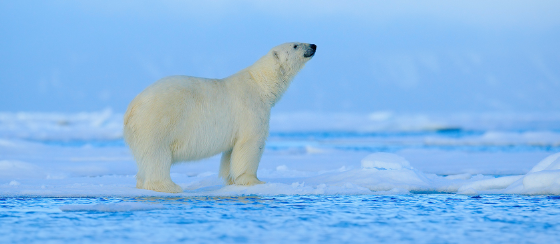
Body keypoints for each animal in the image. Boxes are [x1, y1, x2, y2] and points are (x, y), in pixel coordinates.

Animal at [122, 43, 316, 193]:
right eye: (295, 45)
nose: (313, 45)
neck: (261, 84)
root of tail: (131, 108)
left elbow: (230, 153)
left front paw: (230, 180)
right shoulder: (251, 109)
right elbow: (250, 143)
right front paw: (255, 181)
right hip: (158, 121)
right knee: (157, 154)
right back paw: (169, 186)